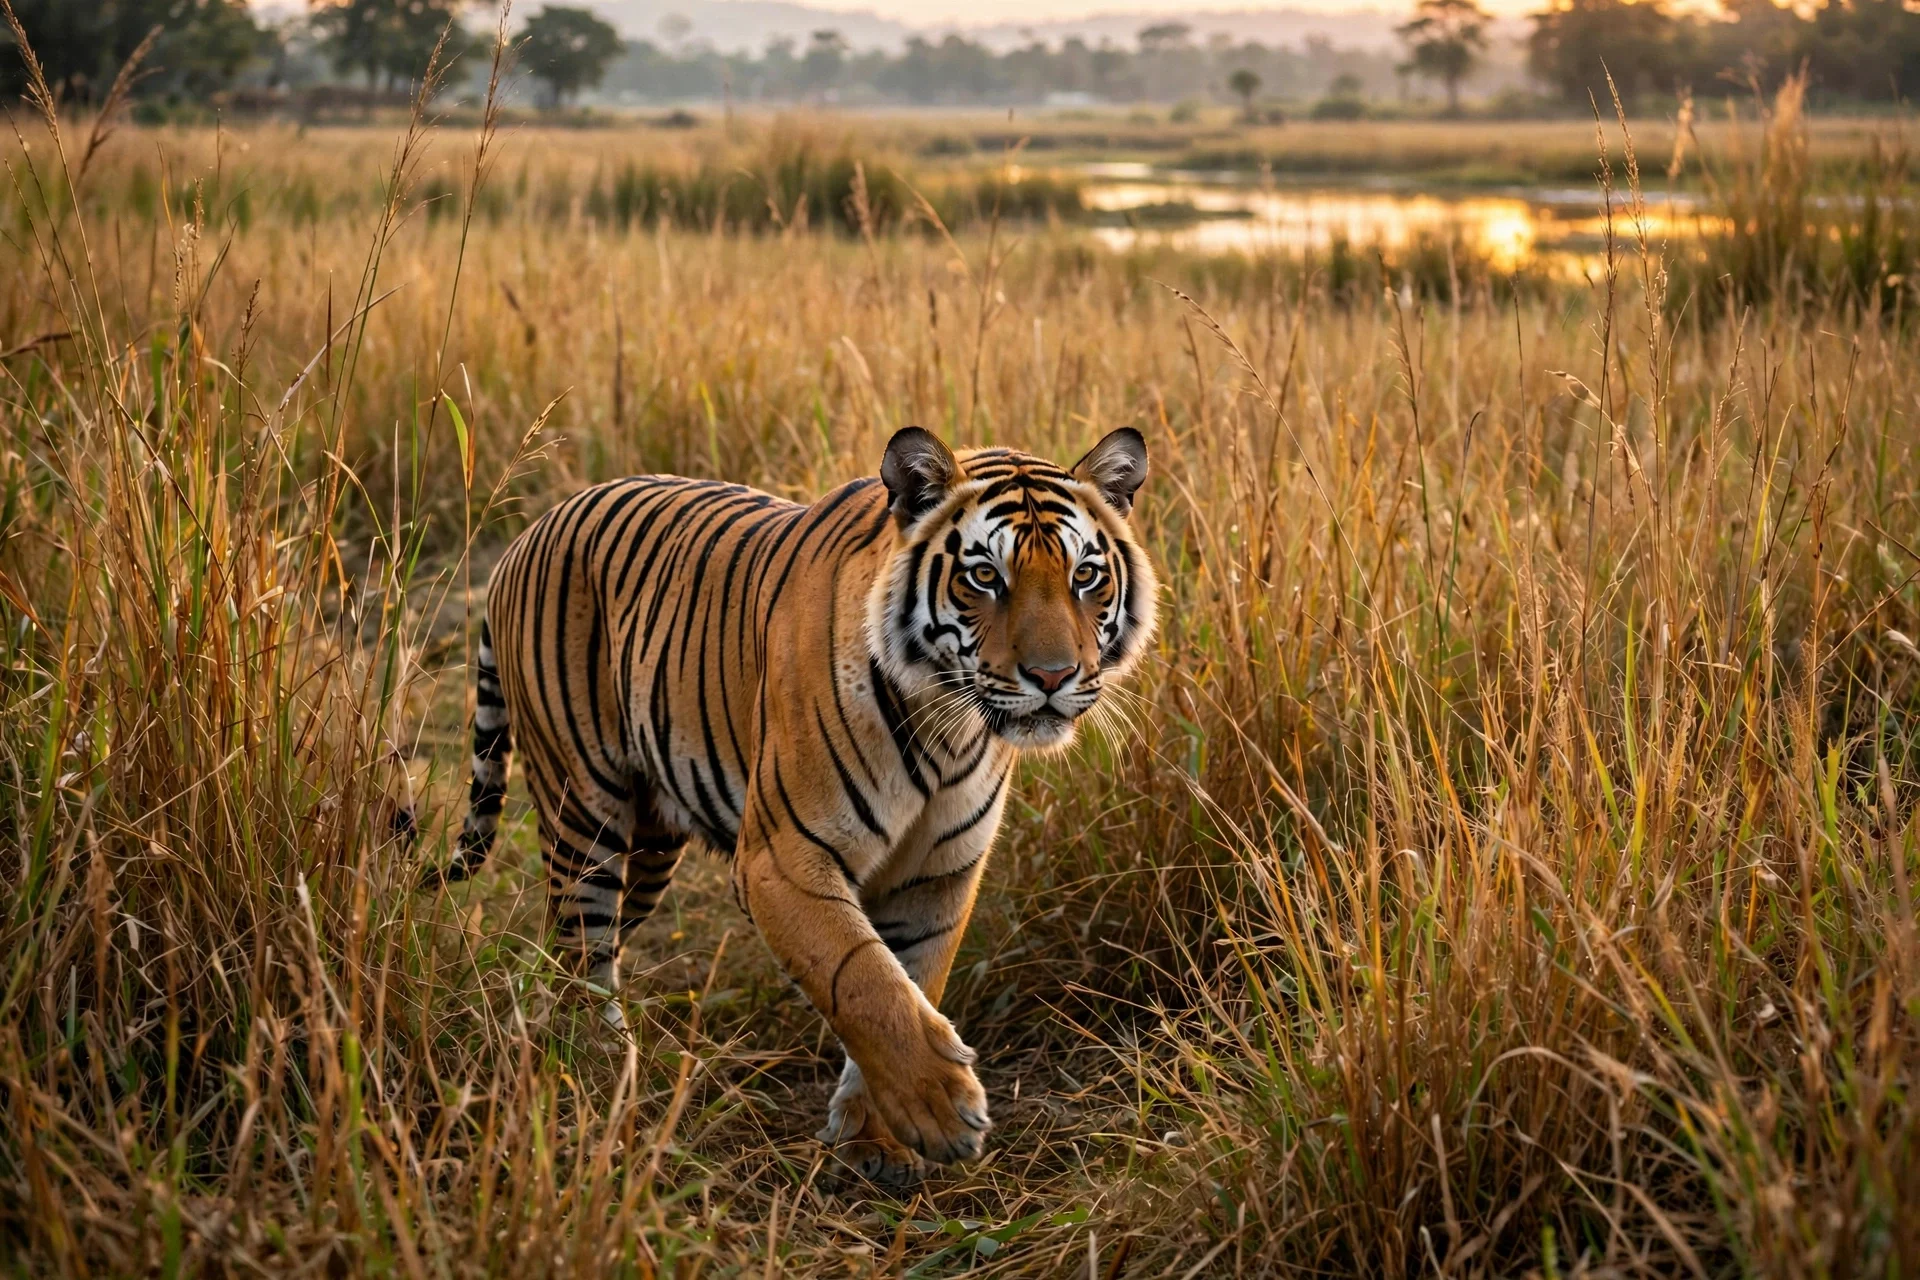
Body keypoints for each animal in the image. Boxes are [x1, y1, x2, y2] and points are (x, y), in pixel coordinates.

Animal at [420, 426, 1156, 1181]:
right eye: (984, 577)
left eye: (1085, 576)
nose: (1053, 676)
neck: (948, 728)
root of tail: (528, 530)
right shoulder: (783, 860)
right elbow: (862, 977)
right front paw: (942, 1107)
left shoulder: (938, 876)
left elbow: (913, 977)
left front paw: (880, 1139)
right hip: (583, 810)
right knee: (579, 948)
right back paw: (597, 1074)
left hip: (650, 847)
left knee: (575, 946)